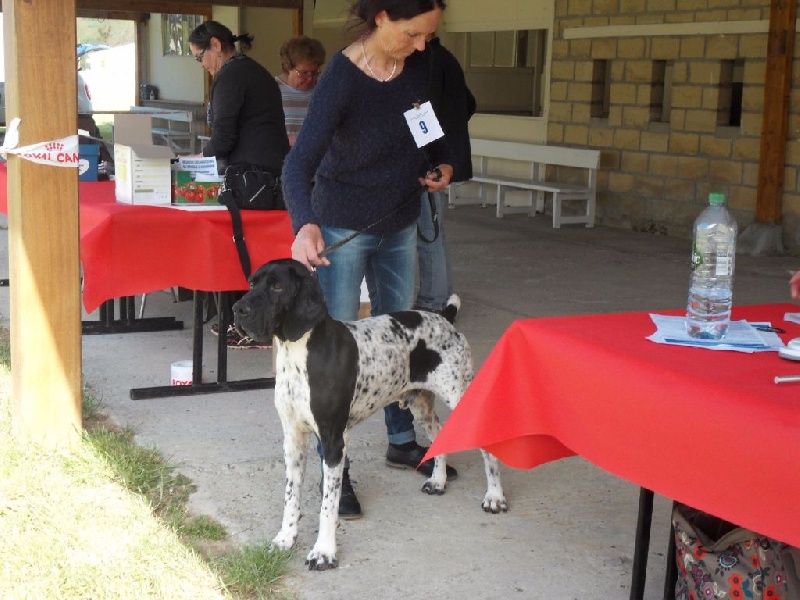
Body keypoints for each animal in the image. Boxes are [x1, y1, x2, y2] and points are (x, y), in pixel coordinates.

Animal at [233, 258, 508, 571]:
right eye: (252, 282)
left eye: (277, 286)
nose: (238, 309)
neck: (299, 351)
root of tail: (445, 317)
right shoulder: (293, 439)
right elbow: (291, 497)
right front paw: (285, 539)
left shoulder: (333, 441)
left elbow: (328, 506)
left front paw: (324, 552)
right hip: (420, 403)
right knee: (437, 432)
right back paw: (438, 480)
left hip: (461, 395)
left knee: (486, 446)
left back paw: (494, 497)